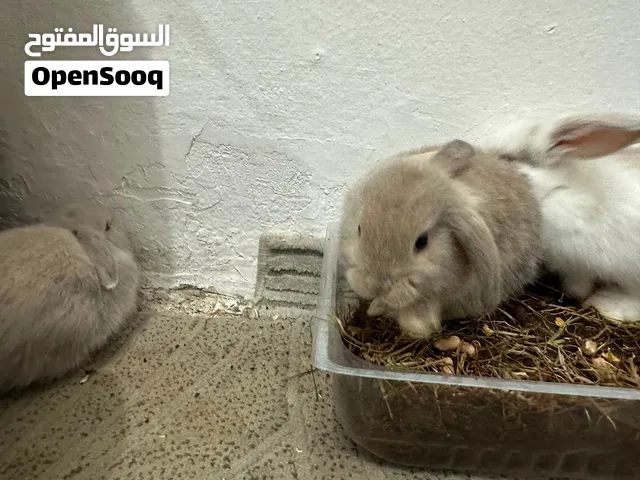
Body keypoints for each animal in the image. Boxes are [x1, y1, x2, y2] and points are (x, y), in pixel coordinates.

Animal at [482, 112, 640, 322]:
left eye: (506, 158)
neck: (555, 191)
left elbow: (633, 294)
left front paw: (608, 305)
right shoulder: (576, 266)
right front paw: (575, 292)